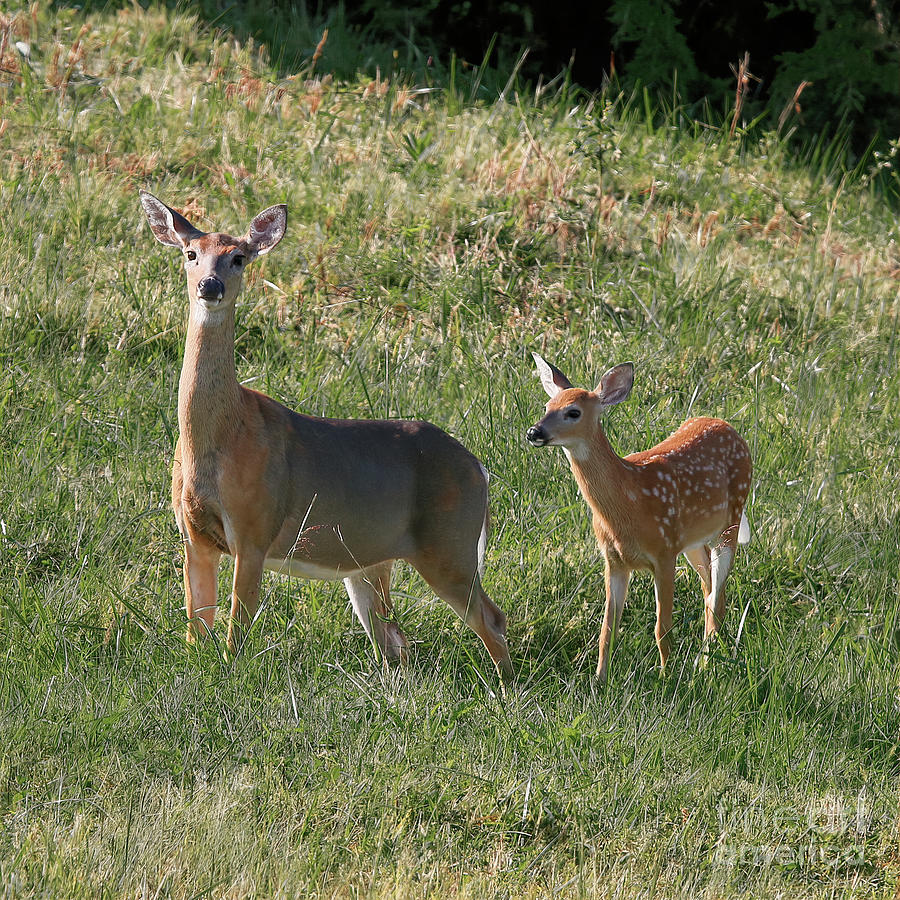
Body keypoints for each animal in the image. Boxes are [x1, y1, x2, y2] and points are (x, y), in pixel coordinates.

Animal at [137, 192, 510, 684]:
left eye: (238, 257)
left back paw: (504, 688)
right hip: (371, 561)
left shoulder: (255, 528)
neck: (220, 439)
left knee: (489, 617)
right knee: (395, 639)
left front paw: (230, 676)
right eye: (190, 254)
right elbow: (196, 626)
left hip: (448, 542)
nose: (210, 286)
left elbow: (238, 628)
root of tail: (479, 468)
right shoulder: (193, 536)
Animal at [524, 356, 748, 680]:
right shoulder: (614, 560)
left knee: (716, 592)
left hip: (732, 518)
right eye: (546, 405)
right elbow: (607, 629)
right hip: (692, 539)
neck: (629, 504)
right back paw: (707, 654)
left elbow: (662, 628)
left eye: (573, 412)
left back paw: (706, 663)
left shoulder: (664, 552)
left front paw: (667, 677)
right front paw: (599, 680)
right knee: (709, 587)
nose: (534, 432)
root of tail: (730, 427)